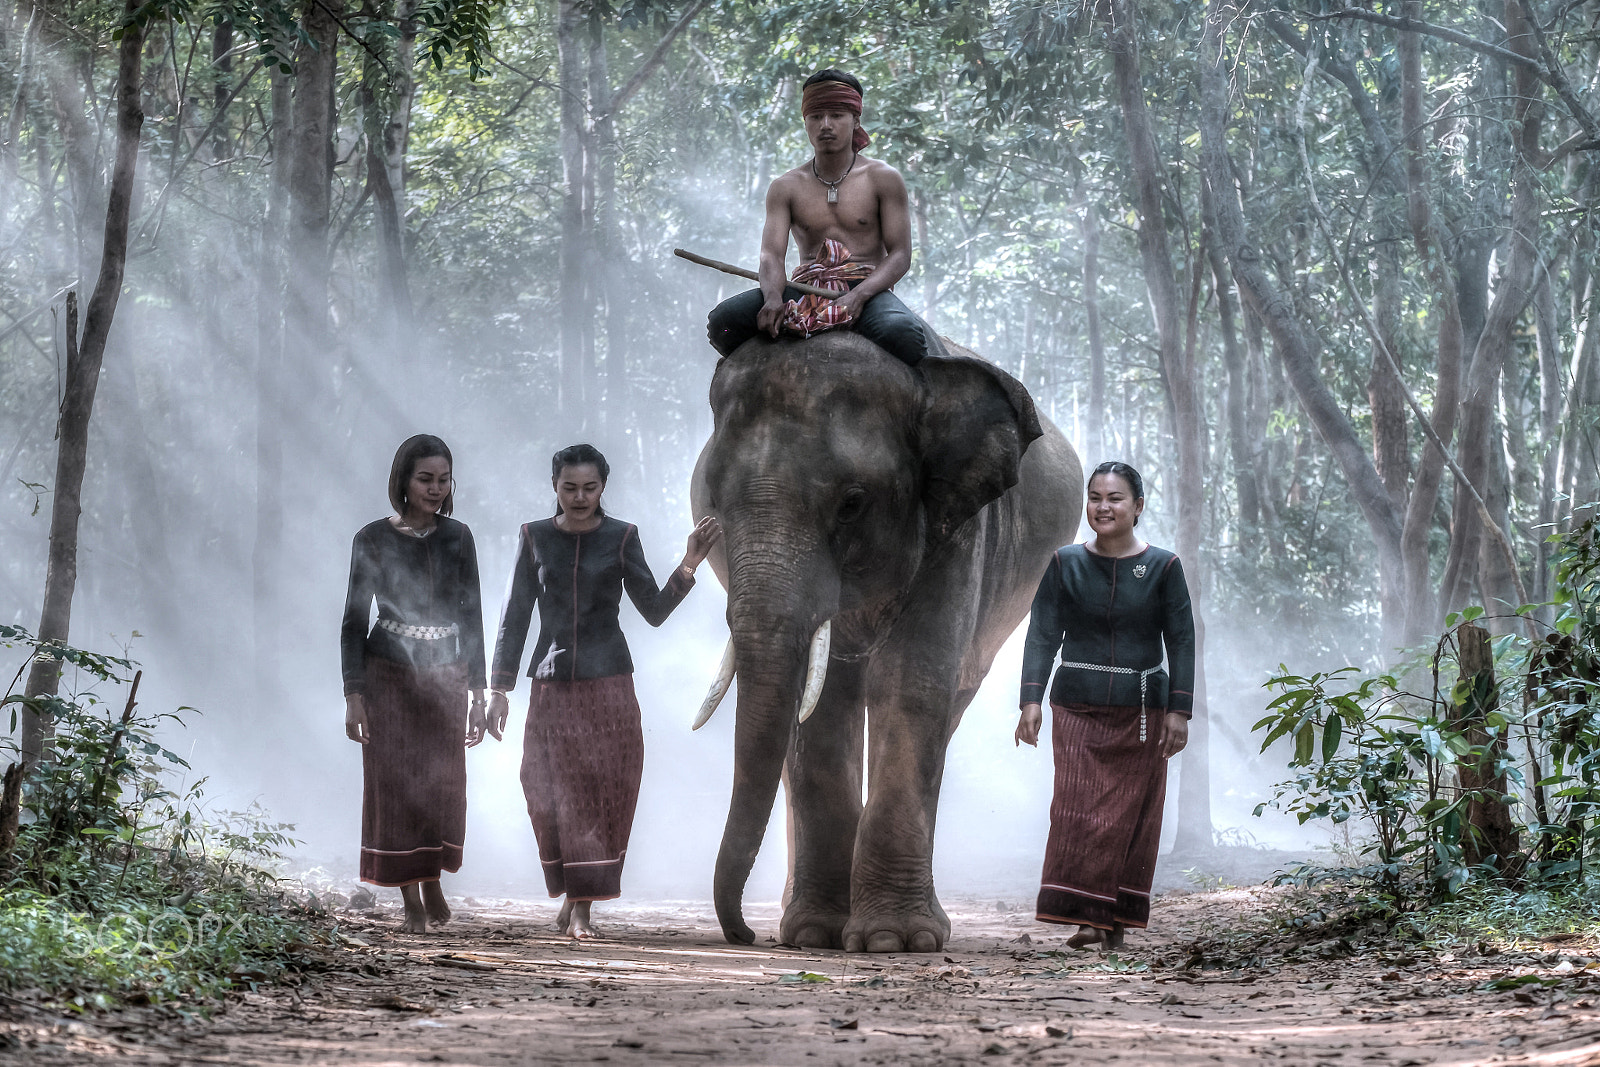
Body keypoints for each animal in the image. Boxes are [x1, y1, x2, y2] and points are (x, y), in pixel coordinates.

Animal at [688, 331, 1075, 953]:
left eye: (852, 502)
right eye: (713, 504)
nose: (742, 934)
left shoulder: (959, 528)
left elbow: (911, 682)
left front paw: (894, 940)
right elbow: (820, 705)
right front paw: (817, 934)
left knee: (945, 707)